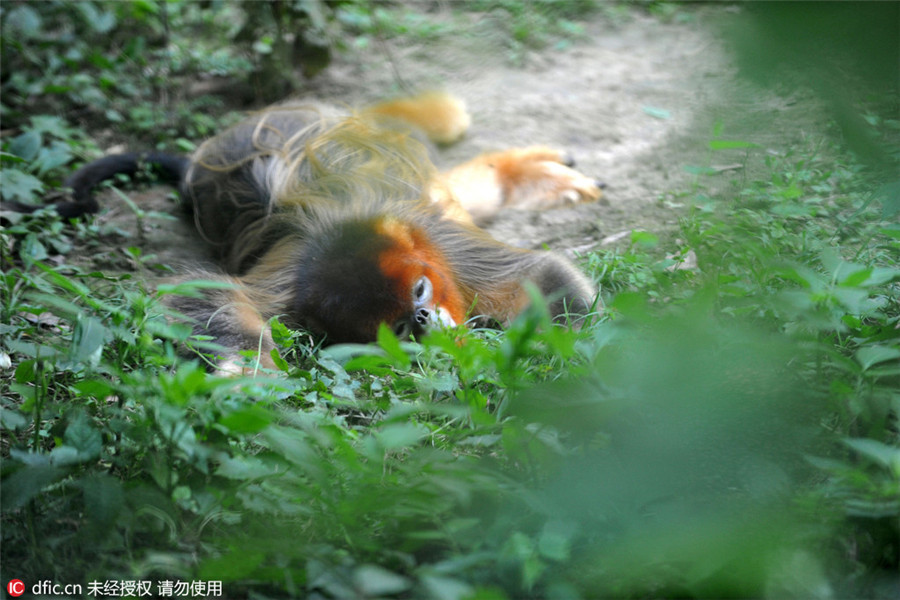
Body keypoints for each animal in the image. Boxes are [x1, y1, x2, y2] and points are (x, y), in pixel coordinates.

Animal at [10, 92, 600, 370]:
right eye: (401, 327)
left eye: (420, 290)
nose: (425, 317)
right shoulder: (290, 290)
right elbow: (204, 295)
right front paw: (248, 374)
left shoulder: (439, 240)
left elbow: (540, 272)